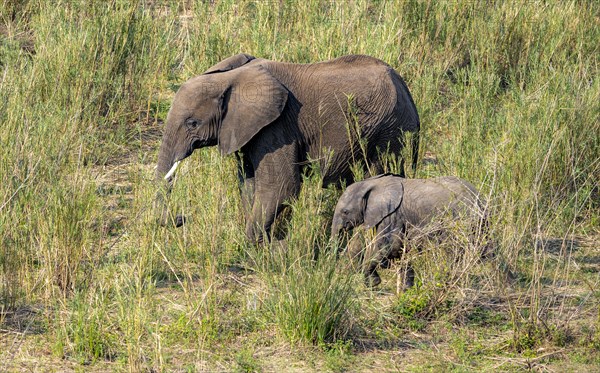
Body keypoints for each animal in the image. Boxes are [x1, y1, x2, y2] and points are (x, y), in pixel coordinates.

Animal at [155, 53, 420, 243]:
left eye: (192, 123)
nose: (181, 218)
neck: (230, 79)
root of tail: (404, 86)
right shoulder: (248, 130)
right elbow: (249, 184)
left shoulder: (278, 126)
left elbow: (281, 186)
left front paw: (252, 247)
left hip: (390, 132)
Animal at [330, 174, 490, 288]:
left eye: (345, 212)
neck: (373, 183)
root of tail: (479, 197)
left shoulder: (392, 214)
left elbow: (388, 246)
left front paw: (373, 283)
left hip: (463, 219)